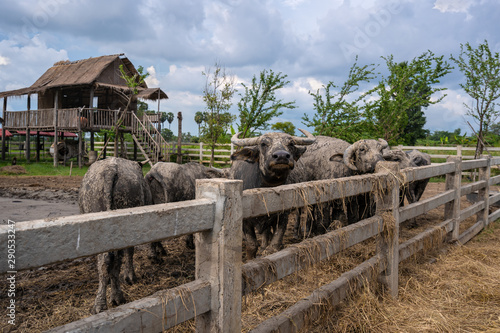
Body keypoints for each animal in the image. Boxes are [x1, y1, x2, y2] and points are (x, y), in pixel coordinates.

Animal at [78, 157, 151, 312]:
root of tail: (110, 169)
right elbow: (130, 252)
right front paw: (129, 276)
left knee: (105, 261)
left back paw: (101, 302)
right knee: (115, 260)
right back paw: (117, 296)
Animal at [228, 128, 316, 258]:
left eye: (291, 144)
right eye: (263, 144)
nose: (281, 156)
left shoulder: (283, 216)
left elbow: (274, 245)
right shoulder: (244, 220)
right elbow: (252, 245)